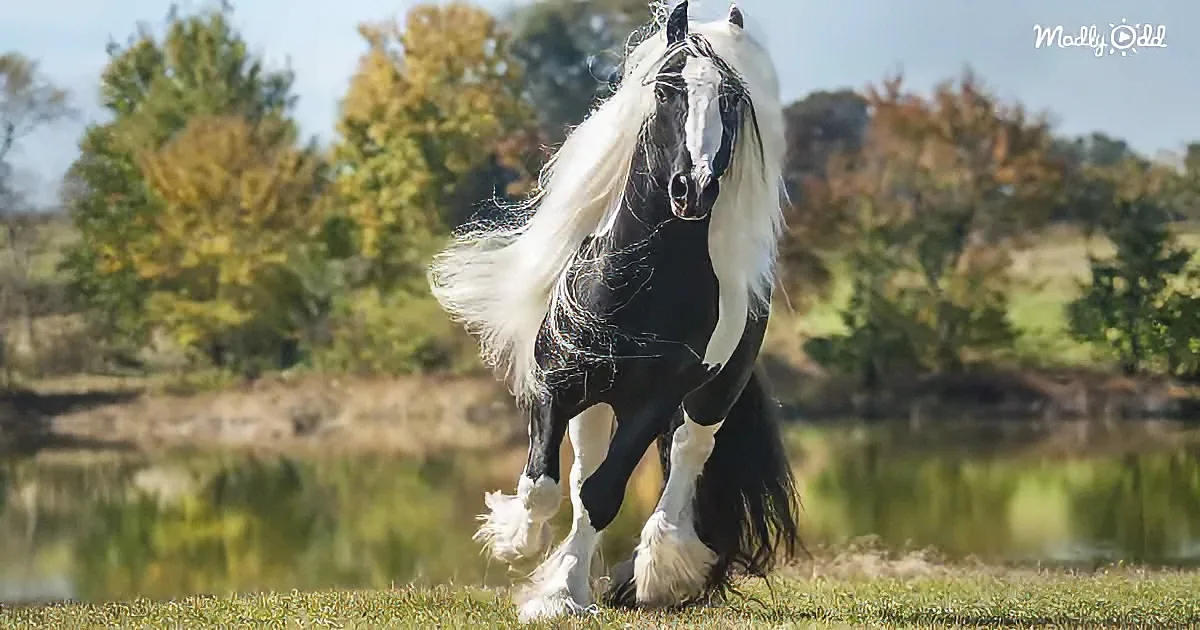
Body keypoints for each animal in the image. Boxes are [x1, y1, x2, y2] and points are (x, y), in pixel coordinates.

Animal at [428, 1, 801, 622]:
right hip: (600, 402)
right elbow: (546, 486)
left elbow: (603, 495)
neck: (639, 284)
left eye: (730, 99)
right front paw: (517, 544)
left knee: (688, 453)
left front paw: (559, 593)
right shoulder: (558, 384)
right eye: (668, 90)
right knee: (584, 469)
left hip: (708, 395)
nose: (693, 189)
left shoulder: (656, 399)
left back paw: (658, 574)